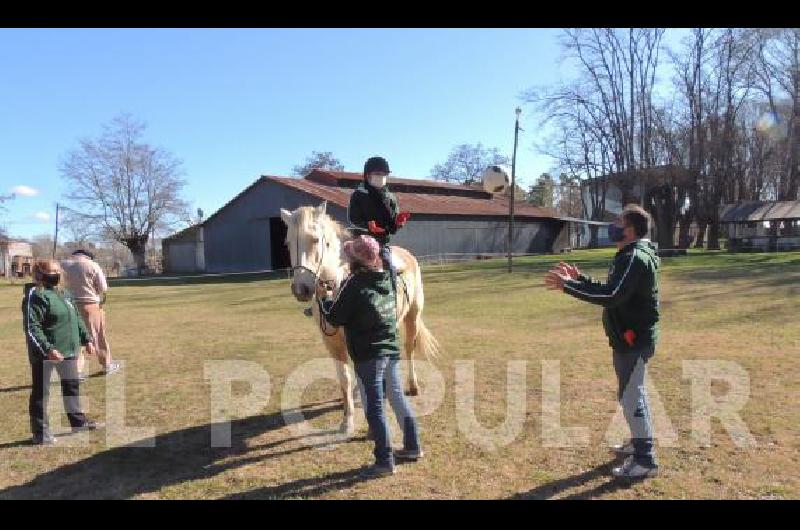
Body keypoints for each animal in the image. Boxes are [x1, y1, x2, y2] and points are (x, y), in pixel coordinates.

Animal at [282, 200, 440, 432]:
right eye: (287, 243)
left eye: (315, 240)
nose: (301, 289)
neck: (339, 284)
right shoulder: (332, 341)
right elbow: (345, 378)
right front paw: (346, 421)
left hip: (412, 316)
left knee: (409, 349)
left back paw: (413, 385)